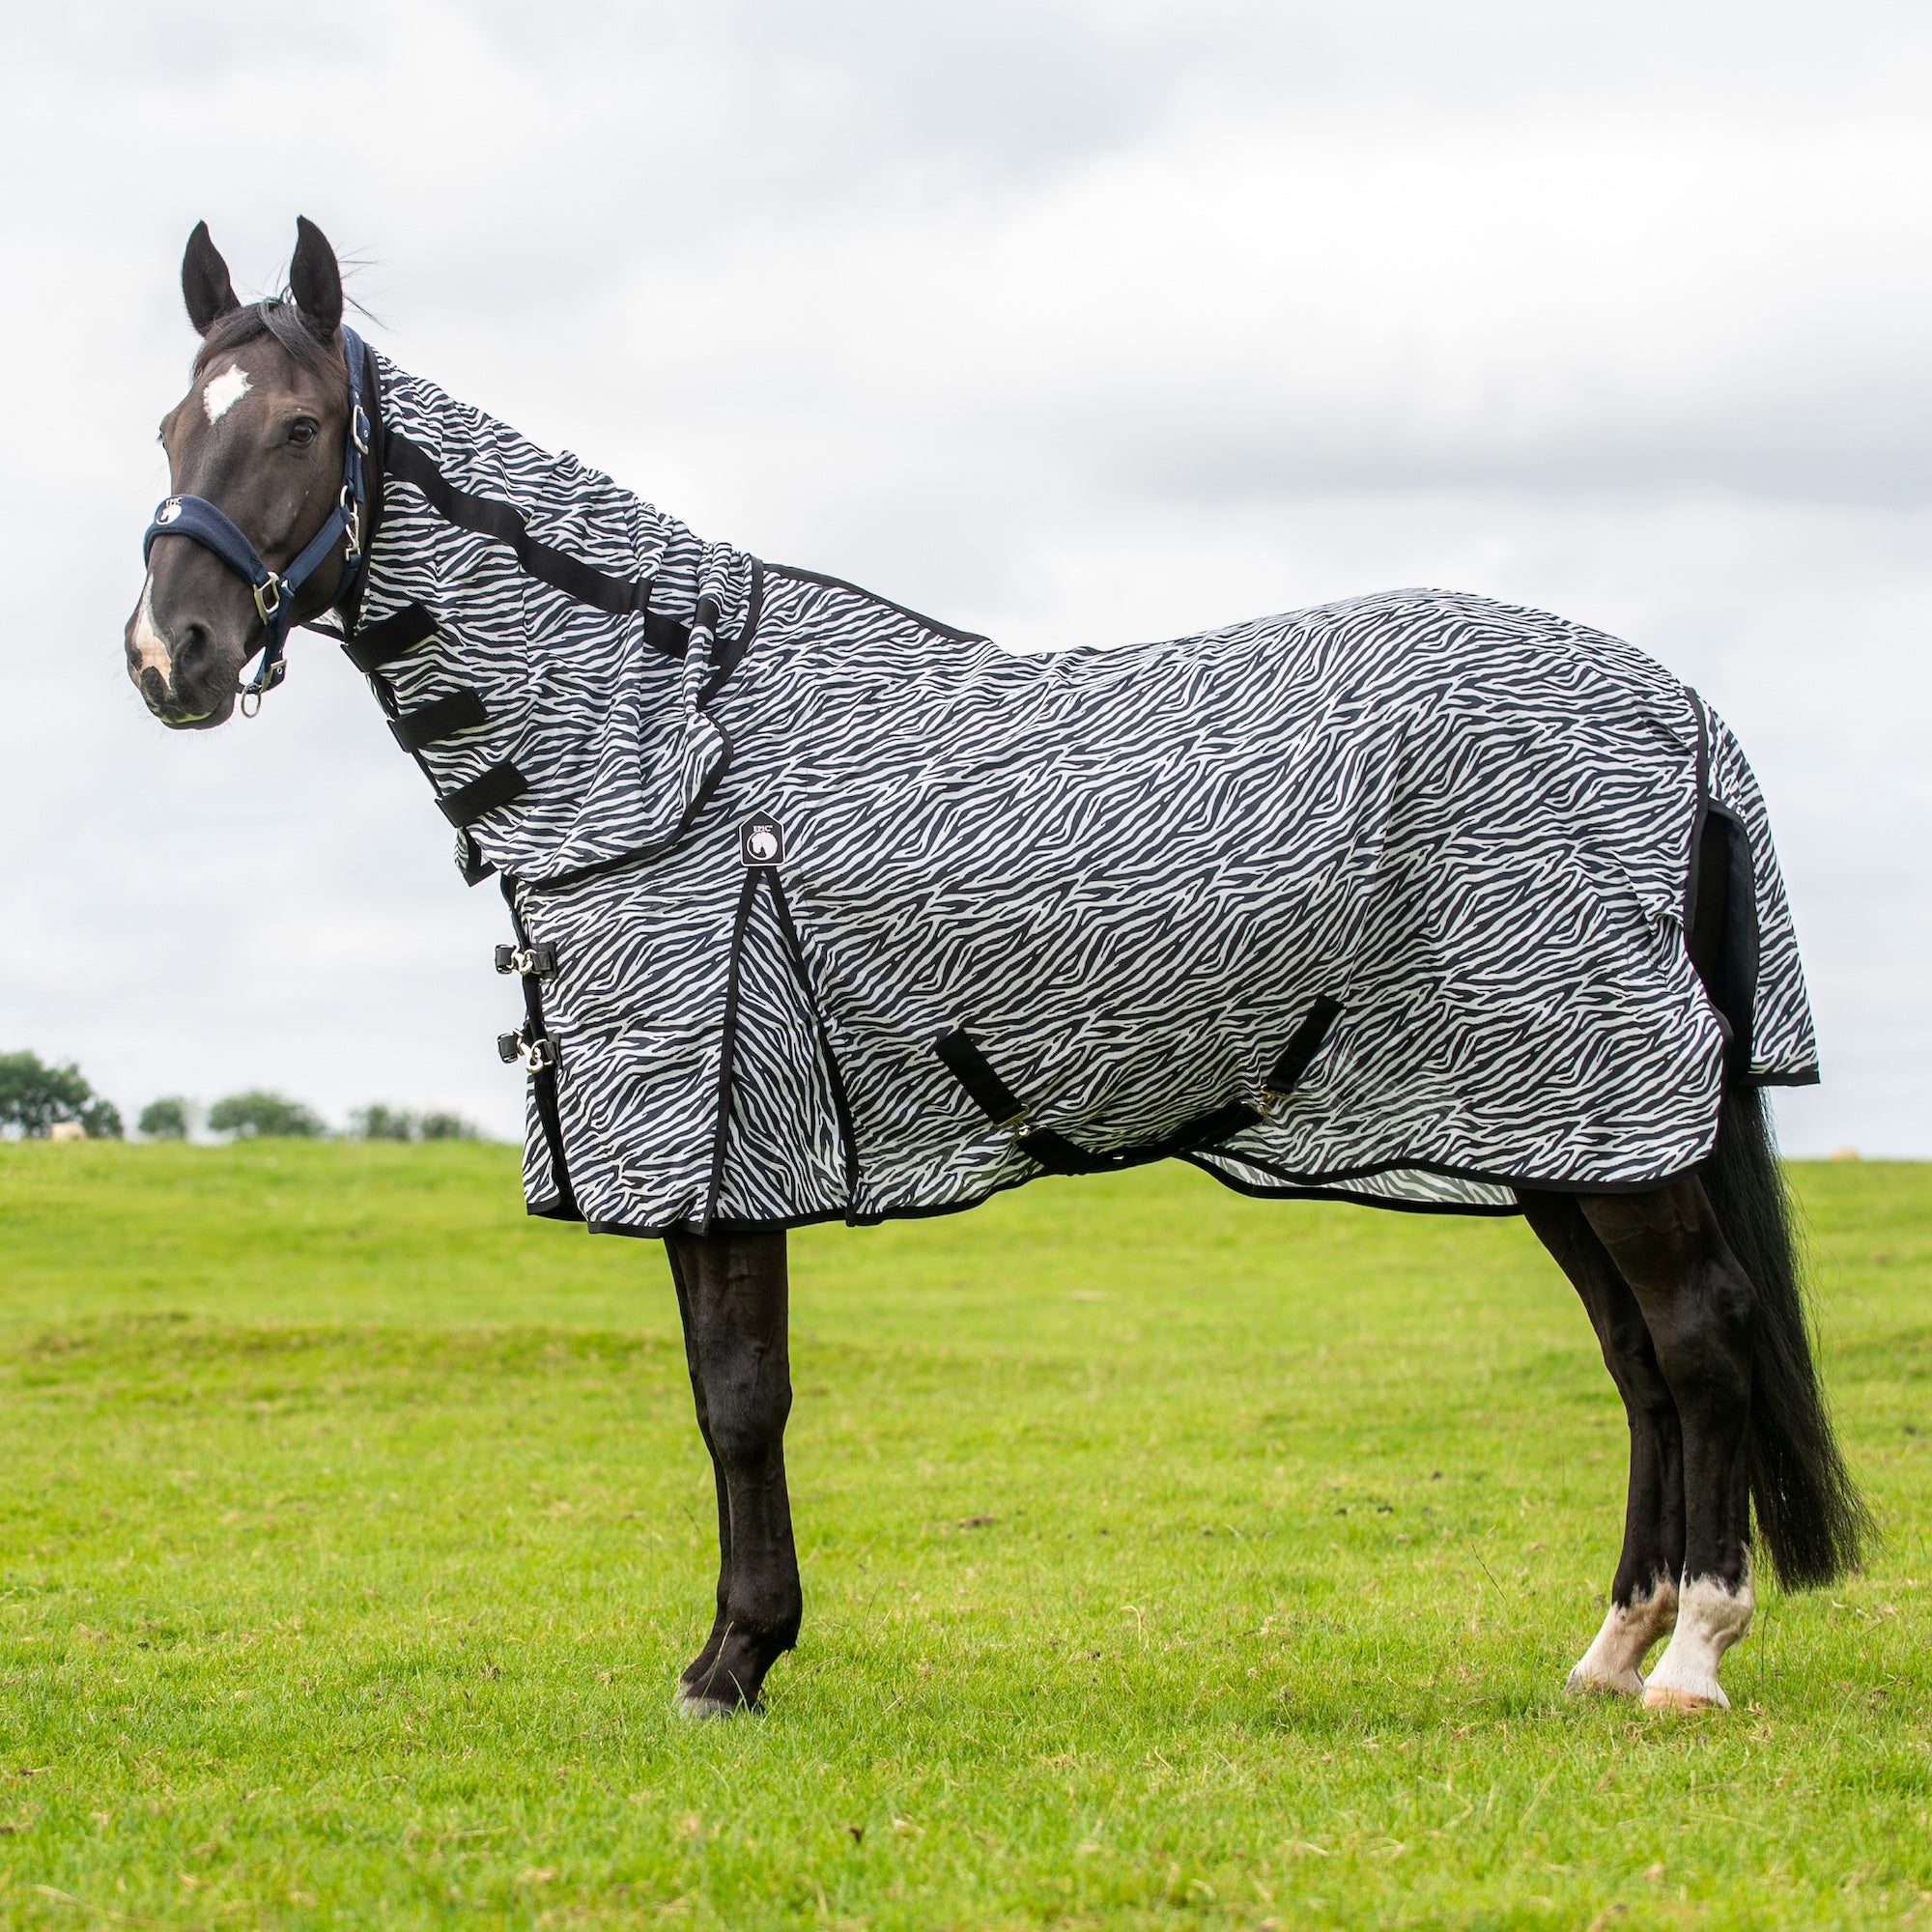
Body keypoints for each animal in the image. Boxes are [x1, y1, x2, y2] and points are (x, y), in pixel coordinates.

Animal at [124, 217, 1868, 1718]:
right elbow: (718, 1390)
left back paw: (1693, 1656)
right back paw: (1611, 1645)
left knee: (1700, 1336)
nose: (169, 657)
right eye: (167, 431)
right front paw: (737, 1651)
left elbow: (739, 1397)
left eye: (296, 426)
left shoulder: (718, 1144)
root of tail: (1678, 706)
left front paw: (734, 1661)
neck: (668, 738)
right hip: (1548, 1129)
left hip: (1606, 1107)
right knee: (1642, 1361)